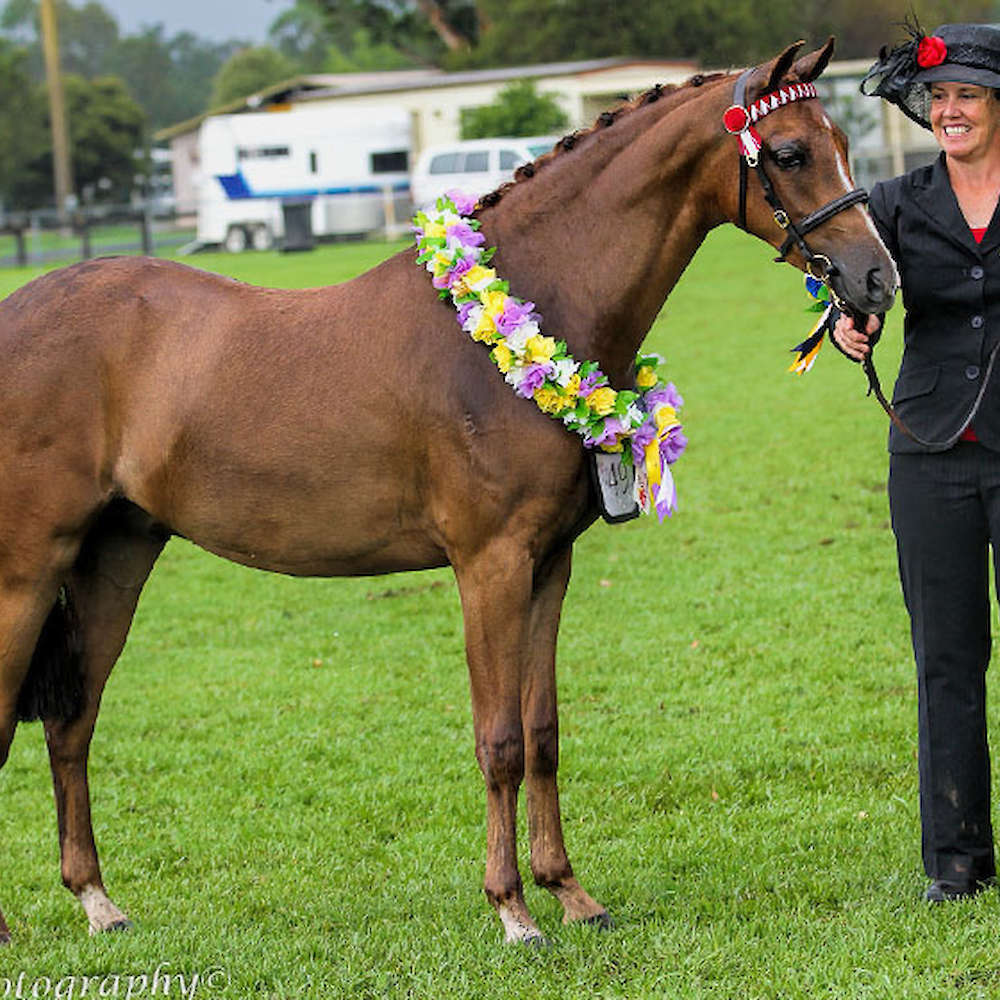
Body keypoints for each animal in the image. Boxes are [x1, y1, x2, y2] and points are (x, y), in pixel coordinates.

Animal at [0, 39, 892, 944]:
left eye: (844, 141)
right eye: (790, 153)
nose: (875, 279)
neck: (518, 321)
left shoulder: (548, 565)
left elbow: (542, 730)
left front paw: (569, 891)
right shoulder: (487, 565)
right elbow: (498, 739)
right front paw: (512, 908)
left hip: (115, 557)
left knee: (72, 723)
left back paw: (97, 898)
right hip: (27, 574)